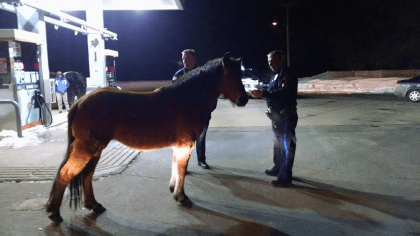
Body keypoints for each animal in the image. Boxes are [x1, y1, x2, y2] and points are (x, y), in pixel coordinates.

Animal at [46, 52, 249, 222]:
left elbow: (176, 166)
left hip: (95, 149)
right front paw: (182, 196)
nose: (244, 99)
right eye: (229, 75)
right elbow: (181, 169)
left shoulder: (180, 145)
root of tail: (79, 102)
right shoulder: (186, 144)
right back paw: (54, 213)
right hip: (87, 149)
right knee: (66, 173)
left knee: (86, 175)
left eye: (240, 74)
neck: (186, 100)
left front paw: (174, 190)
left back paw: (94, 205)